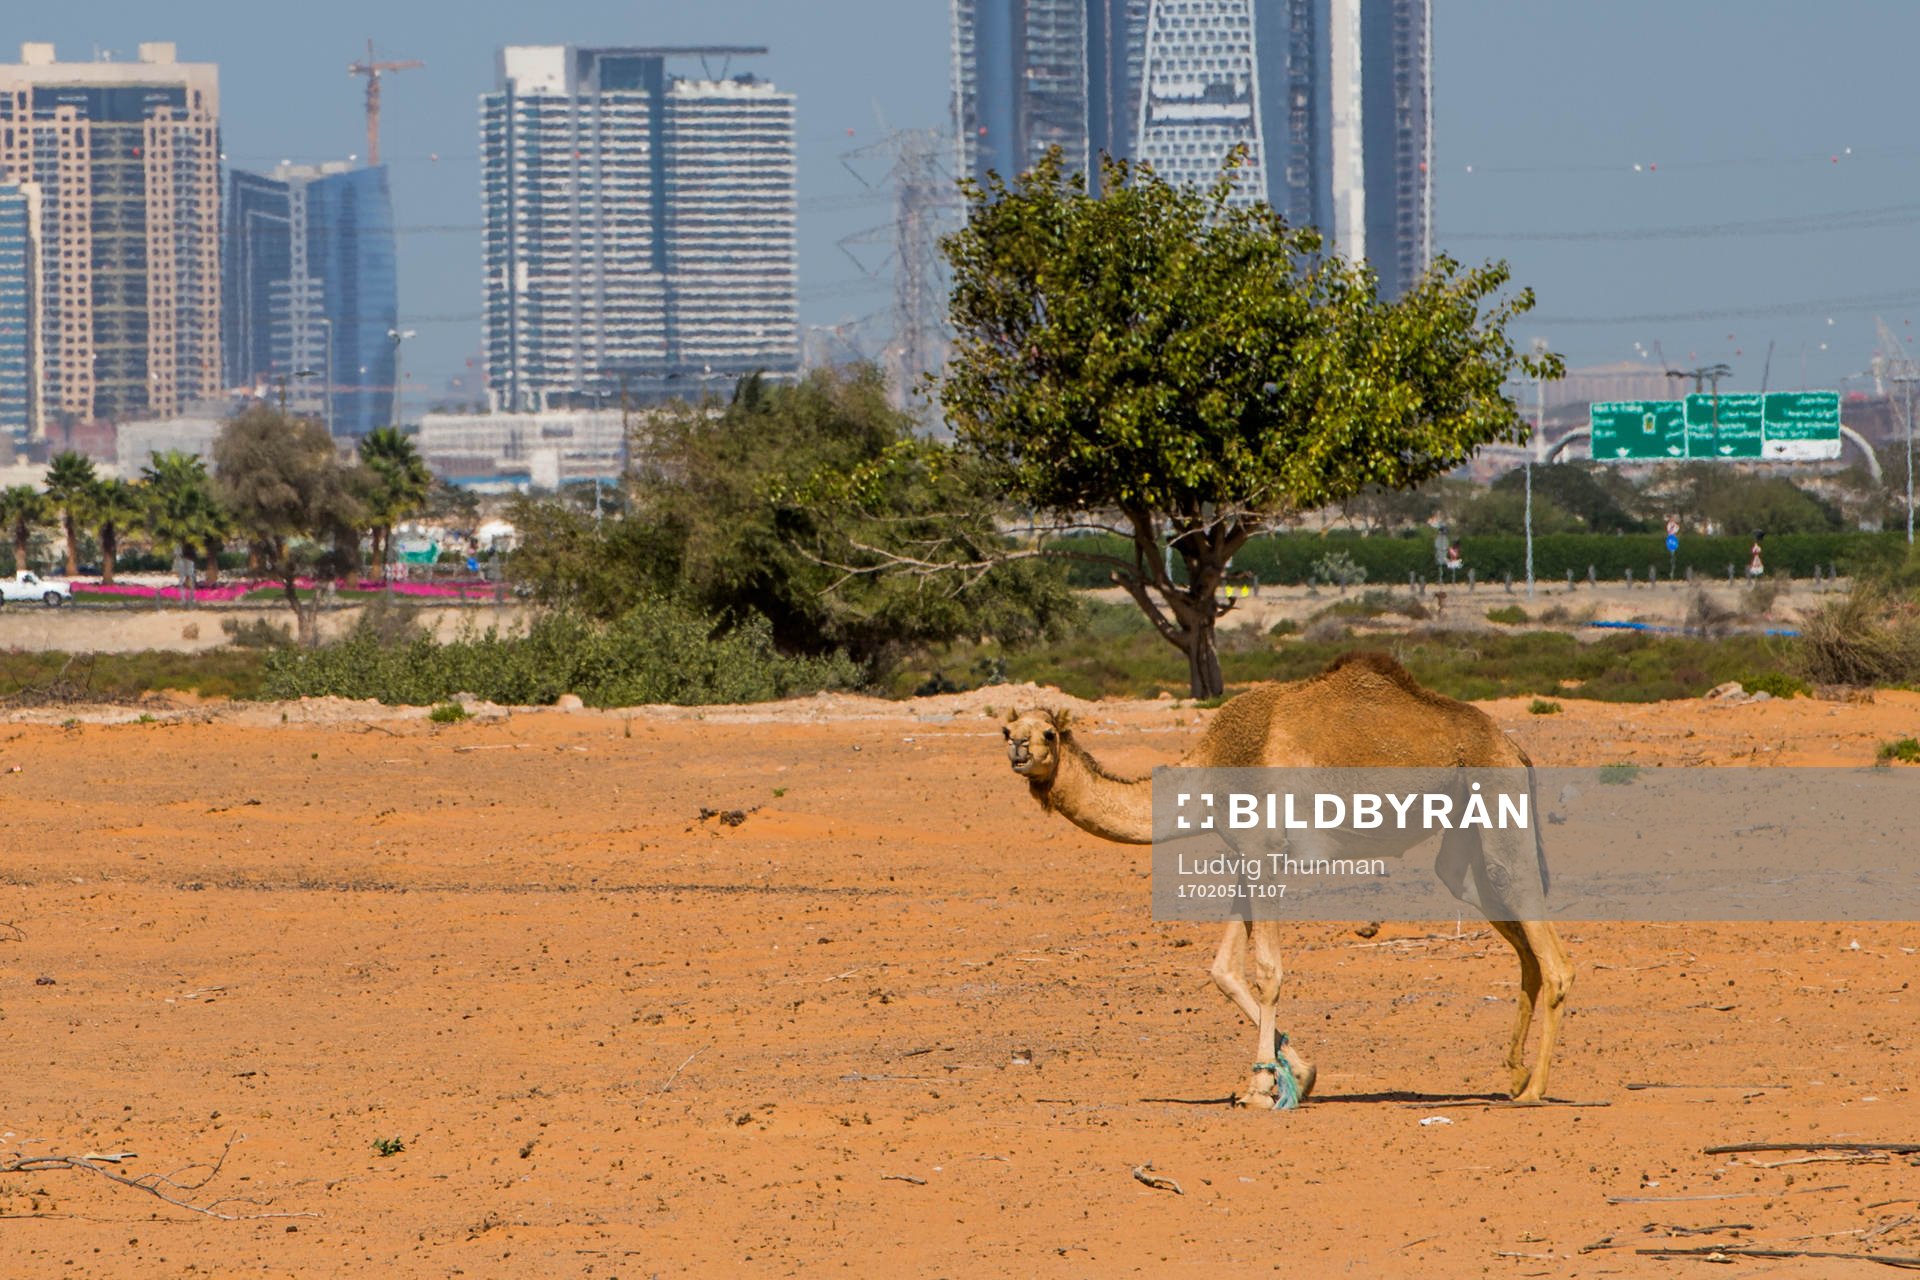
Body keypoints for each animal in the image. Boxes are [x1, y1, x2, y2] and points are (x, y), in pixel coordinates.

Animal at [1002, 651, 1573, 1109]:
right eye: (1008, 732)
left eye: (1048, 733)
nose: (1020, 752)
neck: (1215, 767)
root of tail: (1514, 747)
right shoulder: (1246, 857)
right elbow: (1223, 970)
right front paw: (1296, 1073)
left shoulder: (1266, 852)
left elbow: (1268, 971)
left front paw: (1262, 1089)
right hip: (1461, 845)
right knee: (1518, 941)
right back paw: (1515, 1075)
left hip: (1498, 805)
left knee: (1551, 953)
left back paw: (1536, 1089)